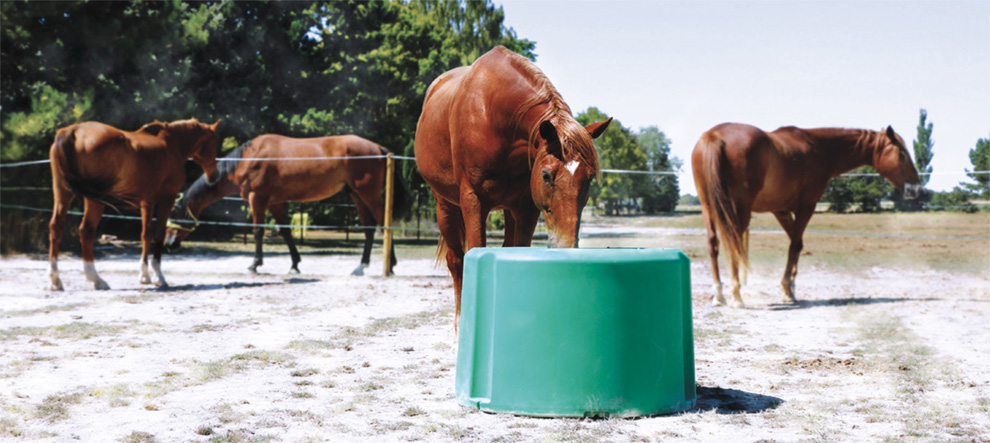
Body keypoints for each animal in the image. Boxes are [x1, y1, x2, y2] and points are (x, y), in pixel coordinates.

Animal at [49, 118, 223, 292]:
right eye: (213, 143)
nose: (215, 176)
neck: (171, 144)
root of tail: (73, 131)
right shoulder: (165, 199)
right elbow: (157, 234)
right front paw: (157, 277)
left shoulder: (146, 202)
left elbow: (145, 235)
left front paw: (144, 276)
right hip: (94, 200)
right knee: (86, 231)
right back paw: (96, 279)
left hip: (63, 194)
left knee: (56, 228)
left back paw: (56, 280)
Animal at [165, 134, 412, 276]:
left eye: (175, 216)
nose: (168, 245)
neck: (248, 158)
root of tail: (379, 148)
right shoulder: (275, 202)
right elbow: (286, 233)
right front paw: (295, 265)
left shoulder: (258, 199)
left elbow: (257, 231)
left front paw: (255, 264)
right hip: (357, 195)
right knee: (369, 229)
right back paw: (361, 266)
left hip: (368, 195)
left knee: (383, 225)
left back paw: (390, 265)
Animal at [412, 46, 612, 330]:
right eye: (546, 175)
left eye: (590, 177)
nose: (566, 245)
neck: (492, 114)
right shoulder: (473, 201)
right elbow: (472, 253)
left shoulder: (525, 207)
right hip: (445, 205)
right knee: (456, 260)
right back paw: (460, 324)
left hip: (507, 208)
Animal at [692, 123, 928, 306]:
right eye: (902, 154)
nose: (916, 188)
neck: (818, 149)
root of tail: (714, 135)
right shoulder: (806, 207)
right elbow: (795, 244)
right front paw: (788, 289)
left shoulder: (781, 210)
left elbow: (796, 244)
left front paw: (791, 289)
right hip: (740, 208)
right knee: (733, 242)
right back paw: (736, 296)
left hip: (708, 206)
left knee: (713, 243)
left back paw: (719, 295)